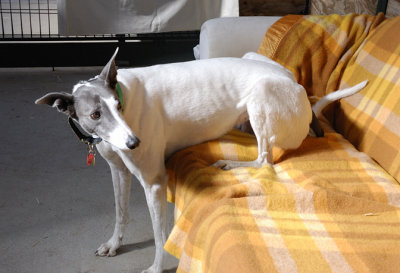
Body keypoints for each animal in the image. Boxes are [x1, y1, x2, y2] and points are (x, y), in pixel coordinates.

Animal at [36, 49, 368, 272]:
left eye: (118, 106)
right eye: (95, 114)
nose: (134, 143)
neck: (124, 91)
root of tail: (301, 92)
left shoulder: (154, 182)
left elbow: (159, 234)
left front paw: (156, 267)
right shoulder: (118, 171)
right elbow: (121, 212)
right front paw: (114, 244)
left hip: (261, 96)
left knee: (265, 160)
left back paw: (233, 164)